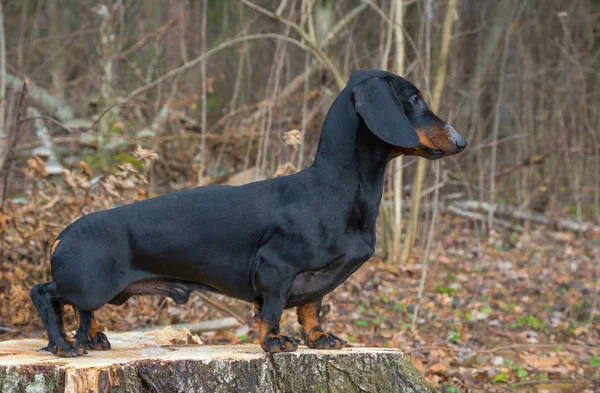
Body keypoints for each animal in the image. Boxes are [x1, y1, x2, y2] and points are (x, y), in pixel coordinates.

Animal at [30, 69, 466, 356]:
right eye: (413, 99)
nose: (461, 141)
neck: (333, 190)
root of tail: (63, 235)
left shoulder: (317, 283)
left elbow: (311, 309)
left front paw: (320, 339)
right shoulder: (275, 269)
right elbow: (270, 311)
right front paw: (274, 341)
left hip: (93, 289)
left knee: (83, 313)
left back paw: (90, 339)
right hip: (88, 283)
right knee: (47, 294)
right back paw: (62, 344)